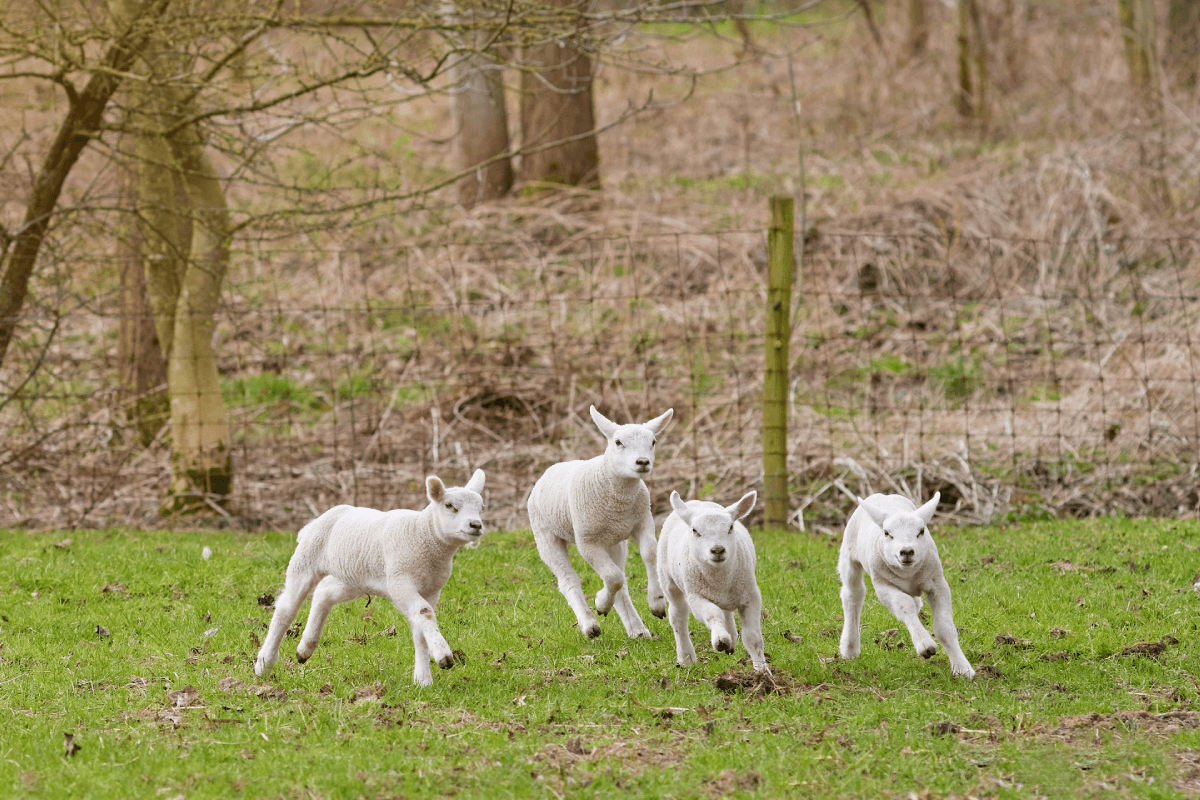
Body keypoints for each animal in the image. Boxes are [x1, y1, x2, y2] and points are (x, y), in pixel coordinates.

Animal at [254, 469, 487, 686]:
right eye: (449, 505)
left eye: (481, 508)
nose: (476, 525)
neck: (424, 535)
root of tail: (313, 523)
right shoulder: (399, 581)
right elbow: (424, 613)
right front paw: (444, 656)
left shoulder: (431, 589)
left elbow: (420, 629)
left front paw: (423, 679)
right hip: (306, 559)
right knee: (286, 609)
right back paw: (264, 664)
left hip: (352, 578)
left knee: (324, 592)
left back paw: (305, 648)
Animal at [527, 406, 673, 639]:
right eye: (618, 442)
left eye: (653, 441)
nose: (642, 462)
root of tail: (550, 469)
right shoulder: (588, 541)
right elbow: (613, 577)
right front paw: (601, 604)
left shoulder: (643, 522)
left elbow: (649, 554)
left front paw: (657, 603)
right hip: (545, 535)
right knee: (569, 579)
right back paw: (590, 625)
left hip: (615, 541)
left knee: (621, 581)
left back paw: (637, 630)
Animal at [657, 490, 768, 672]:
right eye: (695, 531)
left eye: (730, 528)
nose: (717, 550)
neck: (719, 578)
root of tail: (695, 502)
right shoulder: (696, 596)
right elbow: (712, 613)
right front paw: (721, 640)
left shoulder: (751, 596)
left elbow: (753, 639)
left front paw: (763, 672)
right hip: (668, 580)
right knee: (678, 615)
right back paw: (686, 657)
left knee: (725, 612)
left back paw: (731, 640)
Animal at [837, 492, 975, 679]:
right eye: (887, 533)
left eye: (921, 531)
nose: (907, 551)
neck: (908, 574)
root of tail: (882, 495)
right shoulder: (883, 586)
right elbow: (904, 604)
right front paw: (925, 645)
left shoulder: (937, 583)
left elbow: (944, 627)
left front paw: (962, 668)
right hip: (849, 554)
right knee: (853, 595)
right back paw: (850, 648)